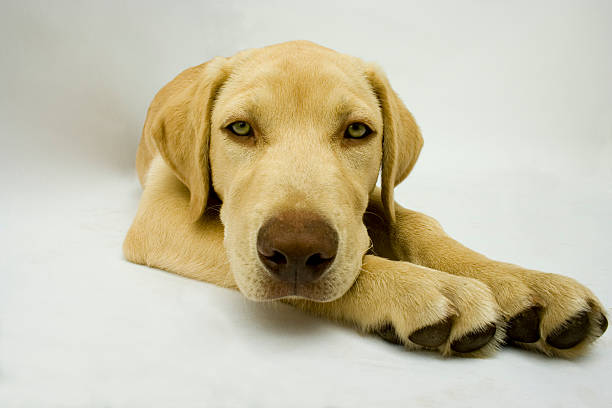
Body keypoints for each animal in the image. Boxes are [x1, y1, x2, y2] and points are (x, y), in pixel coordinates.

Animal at [124, 39, 608, 356]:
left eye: (357, 131)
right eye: (240, 128)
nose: (297, 252)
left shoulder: (374, 197)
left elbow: (412, 220)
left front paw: (518, 282)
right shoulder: (163, 211)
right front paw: (421, 287)